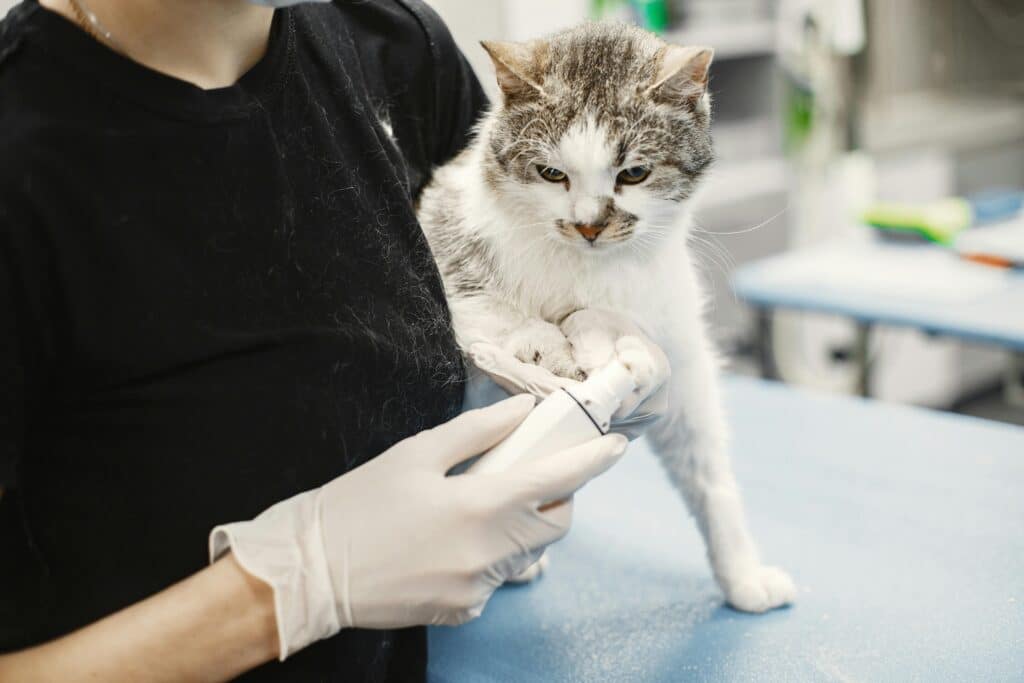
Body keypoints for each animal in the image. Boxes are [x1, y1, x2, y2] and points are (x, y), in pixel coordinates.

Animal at [415, 21, 790, 614]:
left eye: (633, 173)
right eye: (551, 174)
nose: (588, 225)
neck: (590, 270)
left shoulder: (679, 349)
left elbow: (707, 466)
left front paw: (742, 573)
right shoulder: (444, 228)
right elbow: (490, 307)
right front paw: (550, 347)